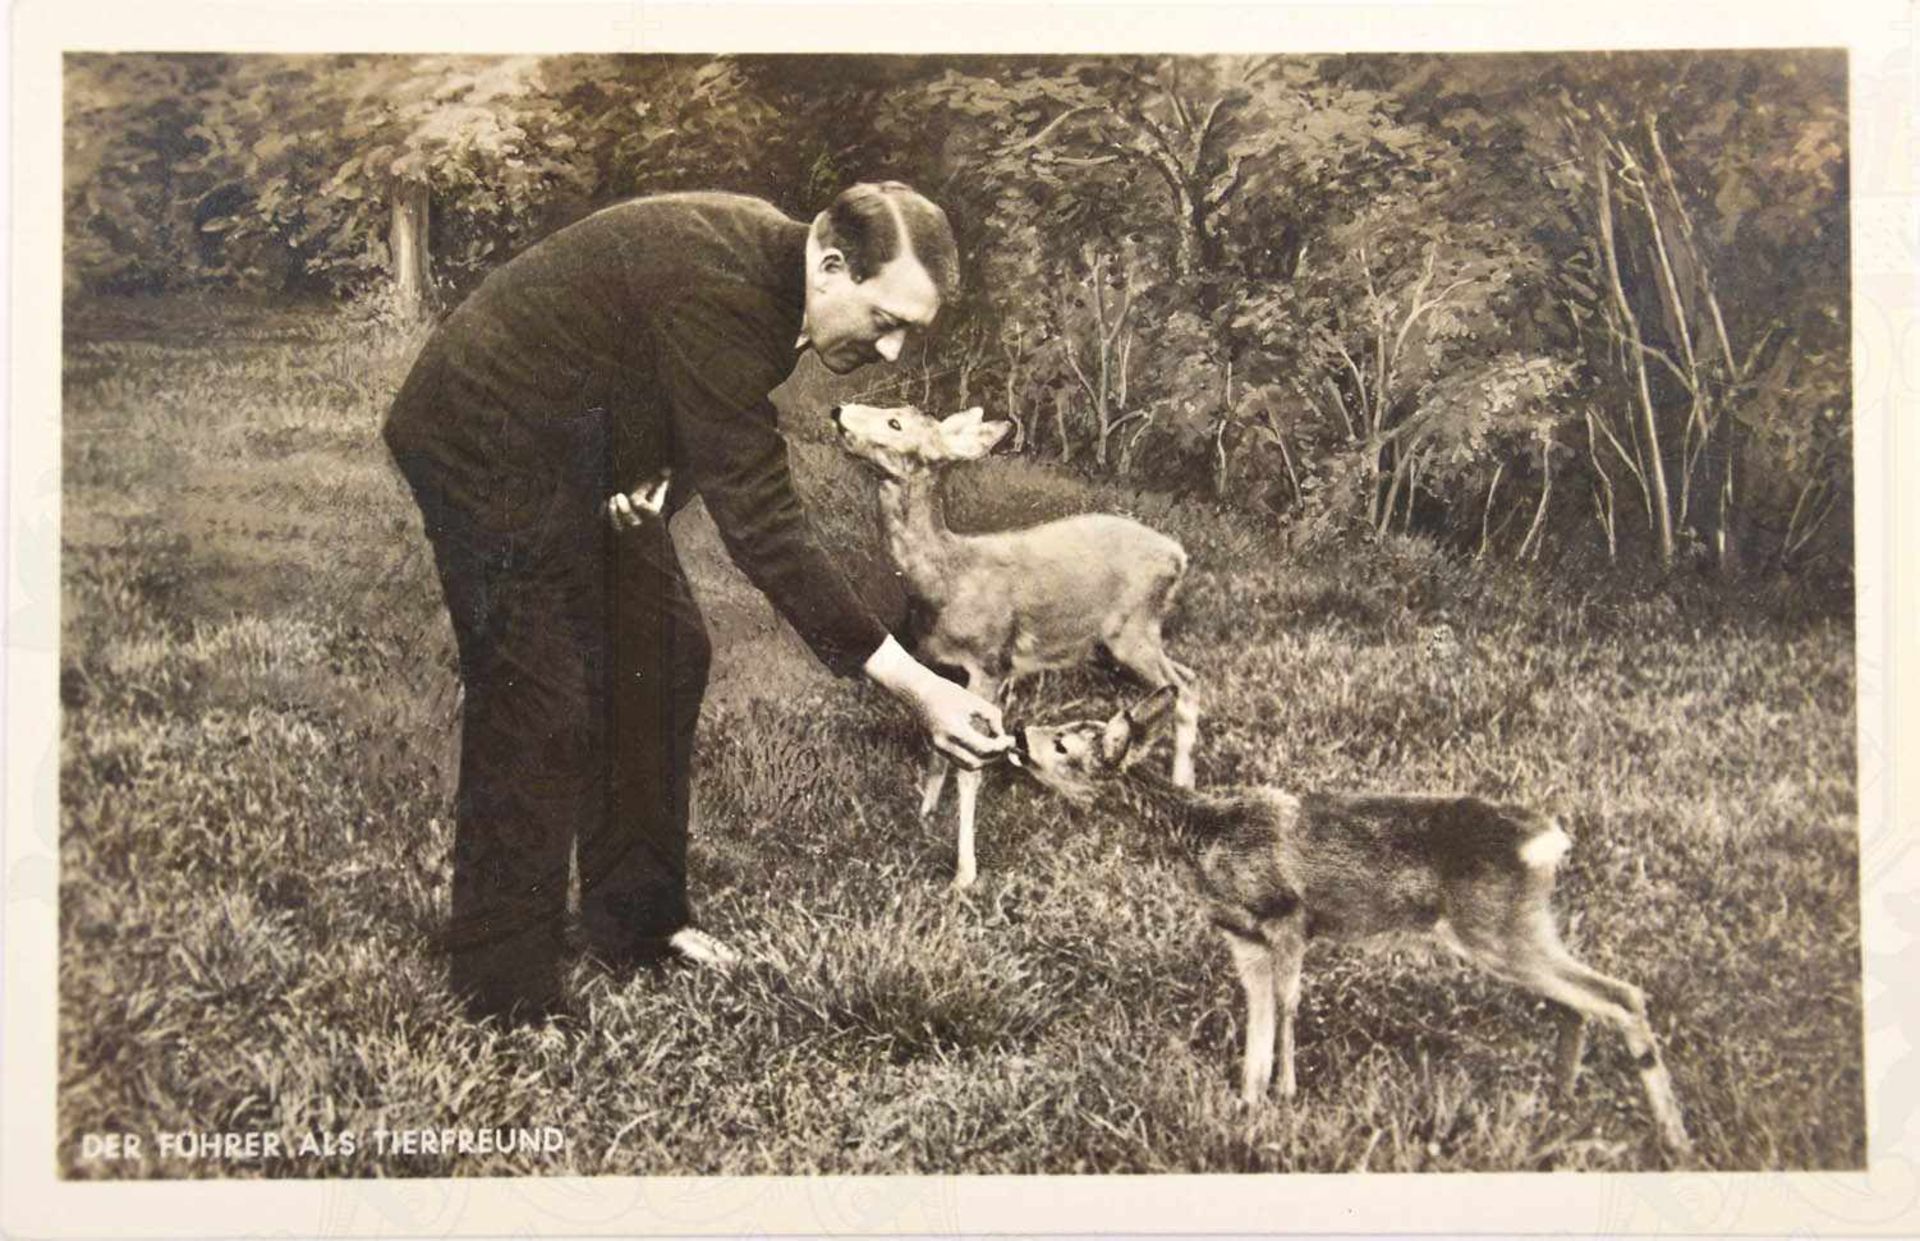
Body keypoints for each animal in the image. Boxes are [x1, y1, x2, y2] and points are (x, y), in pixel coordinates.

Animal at [829, 403, 1190, 891]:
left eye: (895, 423)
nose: (838, 411)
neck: (948, 578)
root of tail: (1179, 556)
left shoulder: (990, 664)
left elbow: (970, 769)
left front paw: (964, 872)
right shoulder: (942, 668)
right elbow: (938, 747)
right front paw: (925, 815)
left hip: (1131, 630)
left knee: (1185, 688)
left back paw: (1183, 786)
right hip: (1121, 641)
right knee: (1185, 678)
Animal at [1013, 691, 1689, 1160]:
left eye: (1065, 745)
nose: (1018, 731)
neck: (1206, 835)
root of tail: (1550, 842)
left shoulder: (1287, 917)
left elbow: (1287, 1008)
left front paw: (1285, 1095)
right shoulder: (1244, 939)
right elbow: (1258, 1023)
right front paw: (1248, 1104)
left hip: (1498, 928)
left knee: (1622, 995)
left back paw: (1672, 1135)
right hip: (1518, 929)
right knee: (1579, 1002)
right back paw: (1561, 1100)